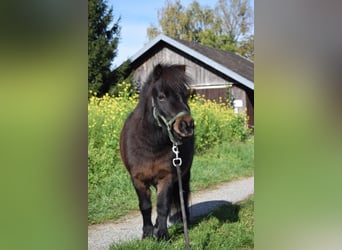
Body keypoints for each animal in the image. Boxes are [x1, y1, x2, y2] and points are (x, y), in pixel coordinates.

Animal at [120, 63, 195, 239]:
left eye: (185, 95)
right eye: (161, 97)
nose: (187, 125)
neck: (150, 144)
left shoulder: (166, 177)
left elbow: (163, 206)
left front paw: (162, 235)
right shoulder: (138, 179)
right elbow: (145, 206)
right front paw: (147, 233)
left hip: (184, 174)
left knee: (183, 195)